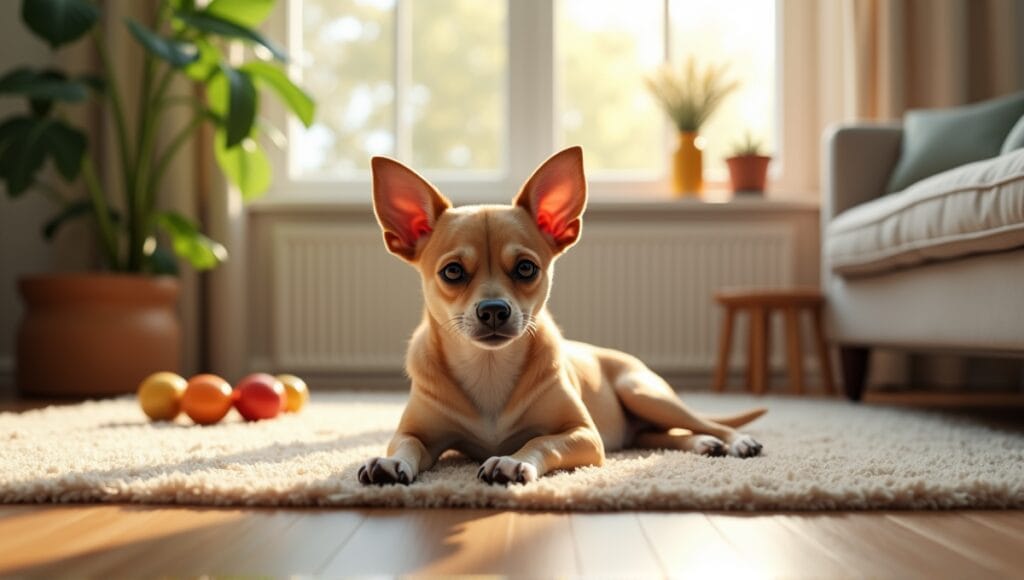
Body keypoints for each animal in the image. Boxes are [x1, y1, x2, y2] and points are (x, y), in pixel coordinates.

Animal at [356, 145, 765, 485]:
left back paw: (734, 441)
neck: (489, 367)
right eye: (452, 272)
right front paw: (391, 462)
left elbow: (541, 442)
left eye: (525, 268)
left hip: (644, 393)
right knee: (659, 436)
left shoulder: (583, 435)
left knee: (699, 422)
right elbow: (405, 444)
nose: (493, 310)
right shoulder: (416, 432)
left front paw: (511, 460)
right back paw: (703, 444)